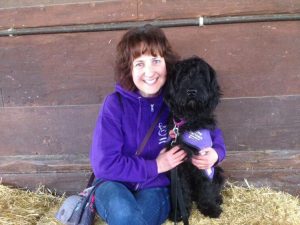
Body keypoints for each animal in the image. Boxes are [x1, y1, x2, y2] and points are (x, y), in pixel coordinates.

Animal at [164, 55, 225, 223]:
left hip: (218, 171)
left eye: (202, 75)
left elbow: (206, 188)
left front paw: (210, 208)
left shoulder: (205, 160)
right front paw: (180, 212)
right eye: (183, 75)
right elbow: (182, 190)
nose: (191, 91)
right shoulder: (178, 164)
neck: (191, 120)